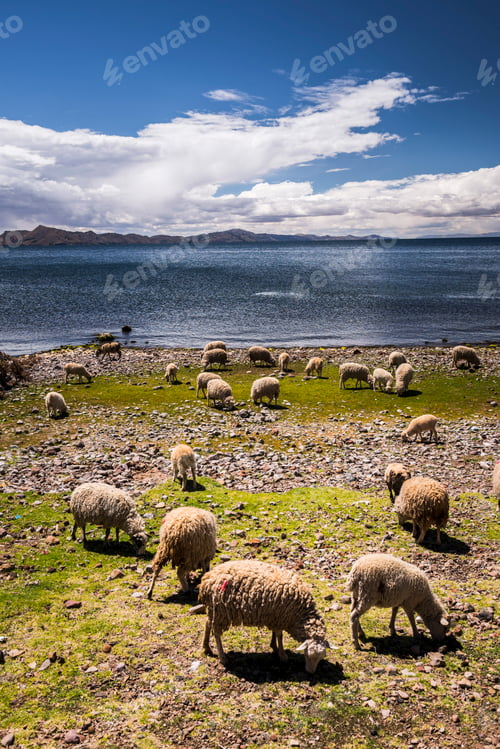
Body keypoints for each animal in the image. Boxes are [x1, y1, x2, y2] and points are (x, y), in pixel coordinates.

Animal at [191, 560, 330, 674]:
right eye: (307, 654)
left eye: (322, 657)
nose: (311, 672)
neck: (300, 614)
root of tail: (207, 580)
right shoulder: (280, 617)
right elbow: (280, 636)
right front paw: (282, 655)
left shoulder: (275, 617)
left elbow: (276, 634)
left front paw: (274, 647)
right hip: (221, 612)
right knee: (216, 633)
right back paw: (222, 657)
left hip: (215, 610)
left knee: (208, 624)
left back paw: (207, 648)